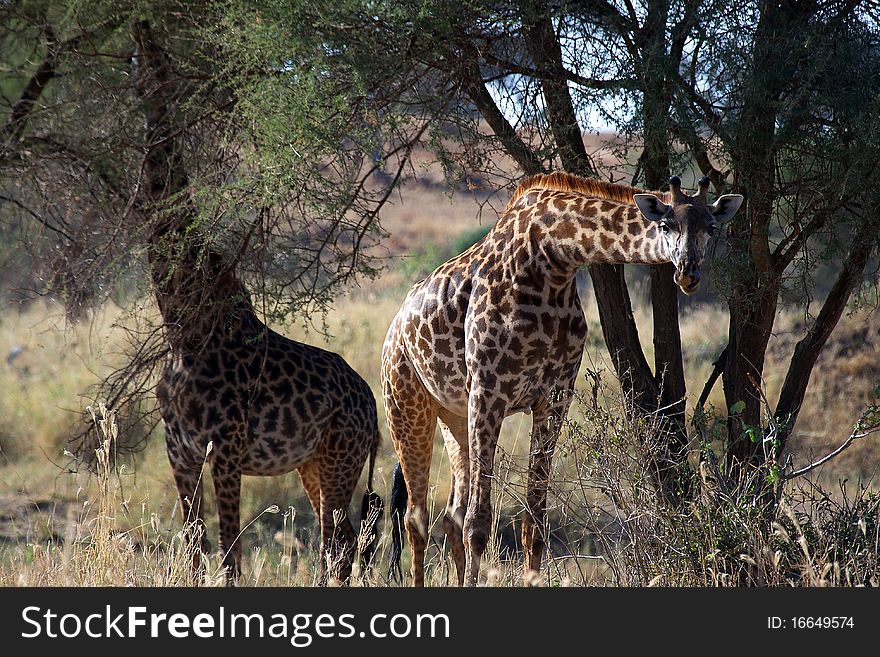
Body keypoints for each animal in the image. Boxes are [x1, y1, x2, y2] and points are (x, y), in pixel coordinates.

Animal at [384, 170, 744, 584]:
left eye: (711, 228)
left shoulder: (554, 397)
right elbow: (479, 522)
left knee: (450, 515)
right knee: (417, 517)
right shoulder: (488, 392)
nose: (688, 273)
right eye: (666, 225)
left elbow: (534, 522)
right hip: (407, 407)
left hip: (453, 416)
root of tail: (395, 328)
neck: (554, 259)